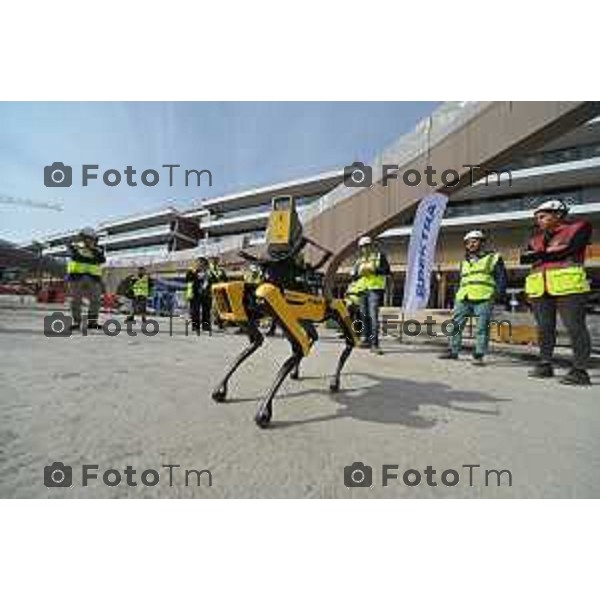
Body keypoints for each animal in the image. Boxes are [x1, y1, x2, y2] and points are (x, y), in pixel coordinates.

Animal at [212, 196, 356, 426]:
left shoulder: (277, 306)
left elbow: (297, 349)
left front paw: (264, 411)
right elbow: (255, 343)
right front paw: (221, 388)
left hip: (334, 311)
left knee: (348, 340)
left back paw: (334, 381)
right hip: (305, 318)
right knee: (313, 336)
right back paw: (299, 371)